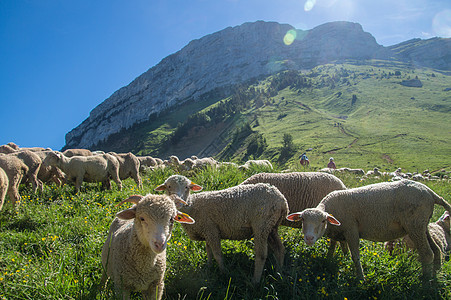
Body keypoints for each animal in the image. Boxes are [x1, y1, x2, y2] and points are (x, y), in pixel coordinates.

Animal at [155, 173, 290, 284]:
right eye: (168, 187)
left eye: (187, 187)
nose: (178, 202)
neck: (192, 205)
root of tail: (282, 200)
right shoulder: (207, 231)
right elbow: (208, 251)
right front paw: (209, 267)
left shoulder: (211, 230)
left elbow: (217, 253)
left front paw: (224, 272)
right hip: (271, 226)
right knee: (280, 249)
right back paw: (279, 273)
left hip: (261, 224)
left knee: (261, 255)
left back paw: (255, 281)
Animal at [288, 179, 450, 280]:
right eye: (303, 219)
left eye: (322, 221)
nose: (309, 238)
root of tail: (430, 192)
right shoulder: (338, 232)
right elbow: (334, 249)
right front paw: (331, 261)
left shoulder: (351, 230)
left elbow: (355, 256)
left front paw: (361, 278)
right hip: (422, 225)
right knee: (436, 250)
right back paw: (436, 275)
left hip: (415, 225)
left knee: (427, 253)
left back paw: (425, 281)